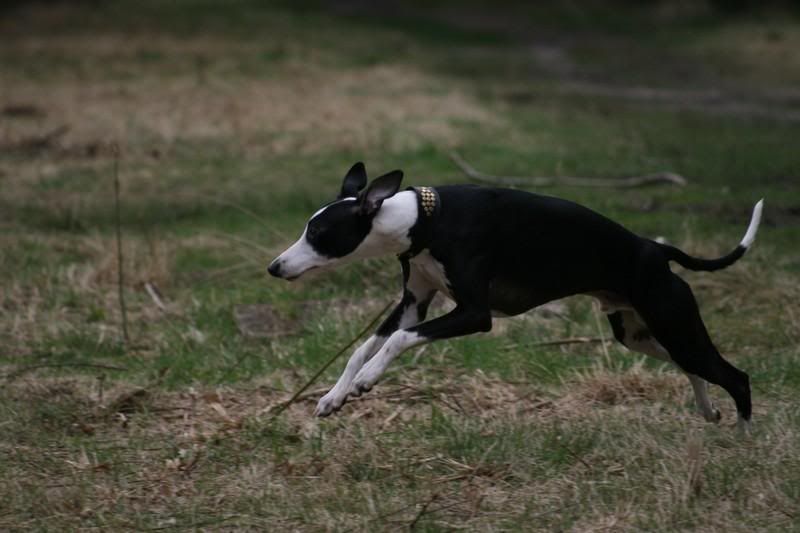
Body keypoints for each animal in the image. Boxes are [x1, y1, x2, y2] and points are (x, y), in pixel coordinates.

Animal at [268, 161, 764, 428]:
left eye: (319, 234)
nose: (275, 267)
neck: (424, 220)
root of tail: (656, 250)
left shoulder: (474, 314)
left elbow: (397, 342)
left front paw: (368, 379)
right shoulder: (413, 304)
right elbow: (366, 346)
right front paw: (335, 395)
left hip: (676, 324)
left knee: (737, 377)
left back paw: (741, 446)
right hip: (638, 334)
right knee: (694, 370)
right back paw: (709, 412)